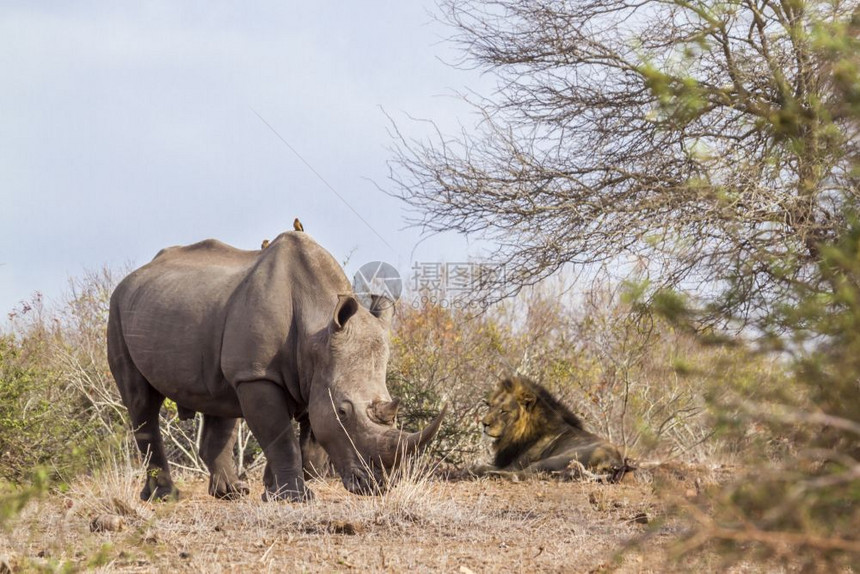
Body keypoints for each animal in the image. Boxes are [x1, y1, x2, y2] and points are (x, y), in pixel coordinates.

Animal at [470, 378, 632, 482]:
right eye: (491, 406)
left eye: (503, 411)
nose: (483, 424)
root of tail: (617, 463)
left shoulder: (514, 464)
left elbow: (482, 465)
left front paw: (476, 469)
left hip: (557, 459)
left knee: (521, 475)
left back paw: (490, 474)